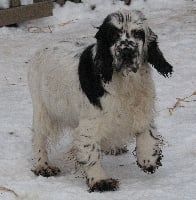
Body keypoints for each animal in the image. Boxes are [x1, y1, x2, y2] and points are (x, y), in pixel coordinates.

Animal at [28, 9, 173, 192]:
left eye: (138, 34)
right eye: (113, 35)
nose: (127, 52)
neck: (126, 82)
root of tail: (42, 49)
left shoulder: (142, 107)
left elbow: (147, 132)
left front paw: (148, 158)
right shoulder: (90, 123)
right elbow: (90, 151)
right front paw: (100, 180)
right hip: (42, 108)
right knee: (39, 137)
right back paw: (43, 166)